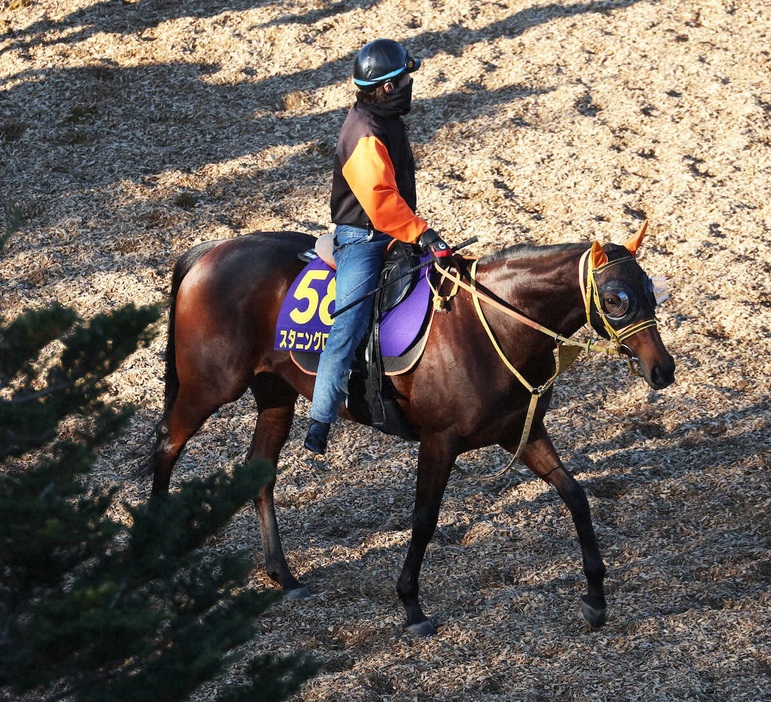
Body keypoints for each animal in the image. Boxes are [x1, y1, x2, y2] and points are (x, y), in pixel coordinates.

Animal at [151, 221, 676, 640]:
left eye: (652, 290)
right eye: (616, 299)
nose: (663, 369)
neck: (493, 326)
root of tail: (210, 251)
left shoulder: (522, 434)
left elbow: (576, 496)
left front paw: (595, 599)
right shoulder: (439, 441)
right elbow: (424, 519)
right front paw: (411, 605)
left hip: (275, 393)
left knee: (260, 472)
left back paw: (283, 575)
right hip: (209, 387)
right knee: (167, 445)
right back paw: (157, 560)